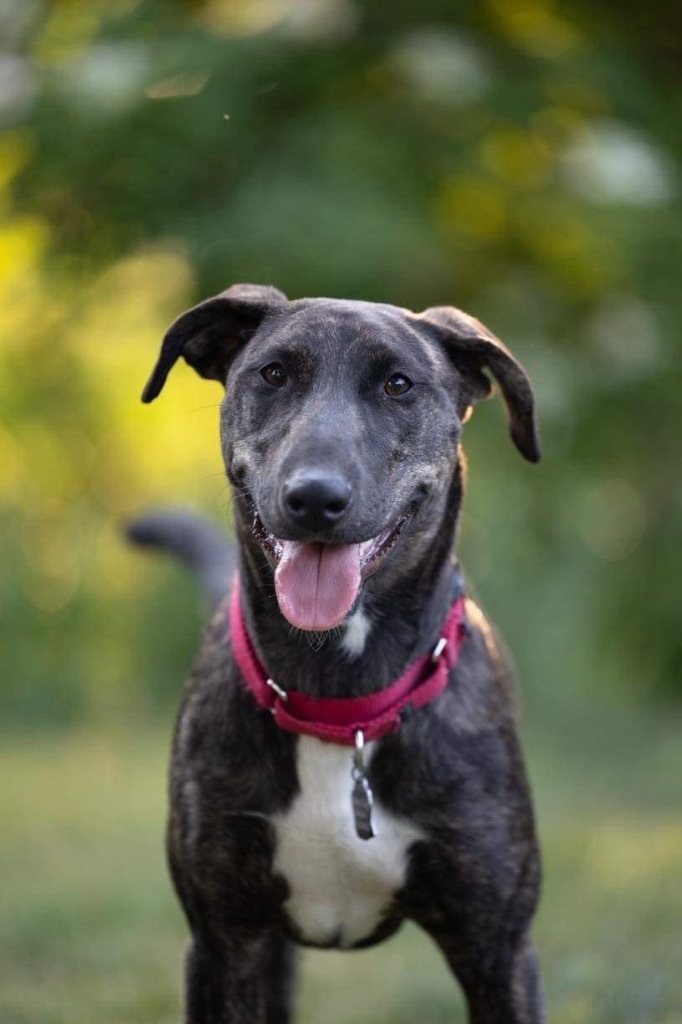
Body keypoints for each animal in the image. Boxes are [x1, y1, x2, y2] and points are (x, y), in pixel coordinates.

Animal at [140, 282, 544, 1024]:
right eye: (273, 374)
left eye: (398, 384)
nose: (314, 497)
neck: (339, 701)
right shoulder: (223, 942)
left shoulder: (498, 951)